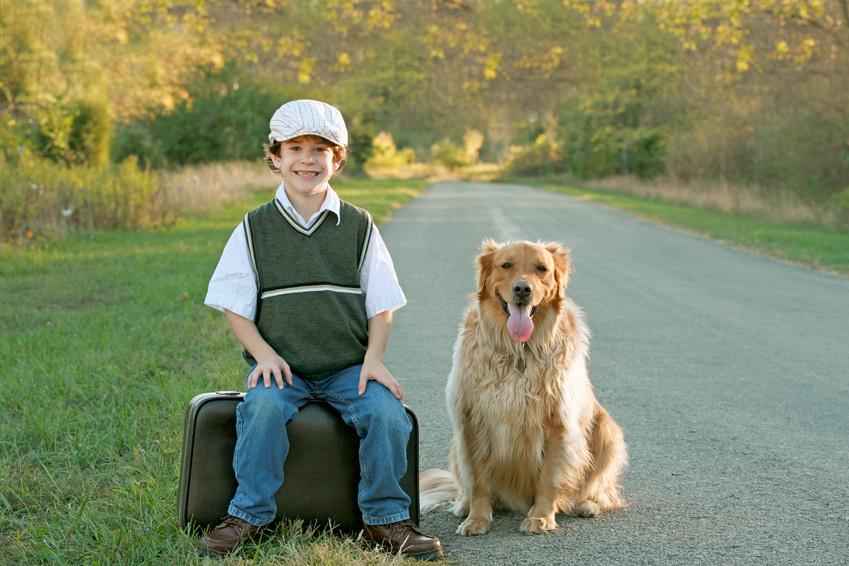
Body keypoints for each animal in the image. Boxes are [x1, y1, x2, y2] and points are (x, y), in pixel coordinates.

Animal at [420, 240, 628, 536]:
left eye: (542, 268)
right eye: (506, 265)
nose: (522, 290)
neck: (518, 350)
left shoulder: (558, 423)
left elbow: (549, 478)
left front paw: (540, 518)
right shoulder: (471, 419)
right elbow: (478, 480)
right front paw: (476, 519)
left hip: (607, 429)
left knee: (603, 492)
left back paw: (586, 504)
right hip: (455, 443)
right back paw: (463, 505)